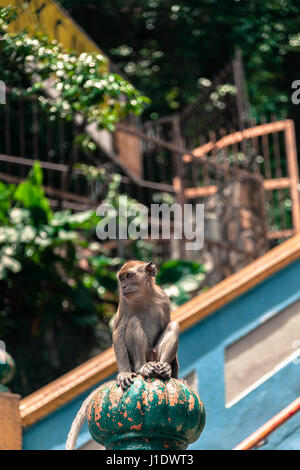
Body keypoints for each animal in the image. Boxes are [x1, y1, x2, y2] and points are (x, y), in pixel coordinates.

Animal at [113, 260, 179, 390]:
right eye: (121, 278)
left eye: (128, 275)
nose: (123, 286)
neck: (143, 297)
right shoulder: (123, 302)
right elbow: (118, 333)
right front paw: (124, 373)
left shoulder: (164, 299)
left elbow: (166, 324)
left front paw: (175, 371)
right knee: (133, 321)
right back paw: (142, 368)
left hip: (155, 355)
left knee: (173, 325)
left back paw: (165, 367)